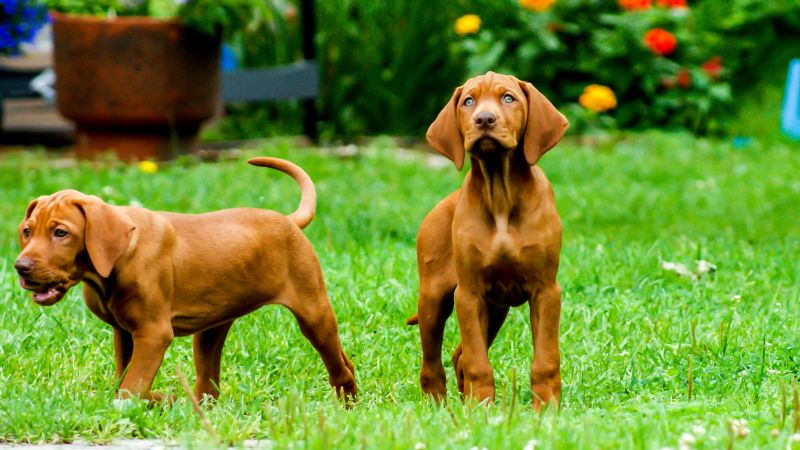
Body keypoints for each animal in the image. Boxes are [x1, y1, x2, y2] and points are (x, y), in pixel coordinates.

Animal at [11, 158, 356, 404]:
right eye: (27, 231)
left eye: (61, 233)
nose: (20, 267)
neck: (116, 261)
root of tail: (288, 221)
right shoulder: (124, 333)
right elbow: (126, 378)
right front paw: (156, 398)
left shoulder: (153, 334)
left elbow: (129, 388)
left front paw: (139, 402)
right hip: (211, 330)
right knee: (209, 389)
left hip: (313, 313)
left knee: (340, 367)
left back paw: (347, 404)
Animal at [406, 72, 568, 410]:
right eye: (469, 101)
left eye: (508, 98)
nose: (484, 119)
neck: (501, 194)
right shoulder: (469, 294)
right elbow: (478, 362)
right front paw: (480, 409)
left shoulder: (545, 290)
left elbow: (545, 359)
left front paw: (546, 408)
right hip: (434, 300)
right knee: (434, 363)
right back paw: (438, 408)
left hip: (495, 310)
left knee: (459, 355)